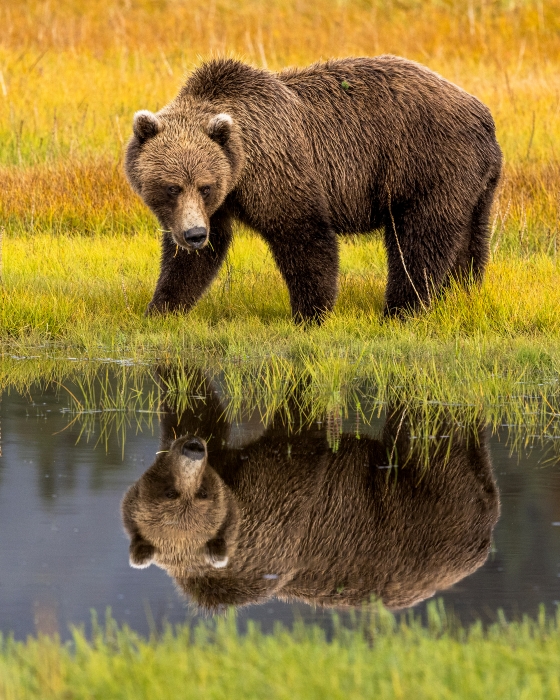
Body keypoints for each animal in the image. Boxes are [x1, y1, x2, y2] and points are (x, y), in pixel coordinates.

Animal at [121, 366, 500, 611]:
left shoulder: (273, 508)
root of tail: (481, 546)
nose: (193, 449)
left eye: (200, 494)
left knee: (427, 429)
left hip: (424, 504)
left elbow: (299, 425)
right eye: (171, 492)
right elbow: (196, 406)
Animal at [125, 56, 502, 323]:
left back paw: (399, 310)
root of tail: (482, 112)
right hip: (477, 185)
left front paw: (310, 314)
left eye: (204, 186)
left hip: (426, 165)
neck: (241, 169)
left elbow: (304, 235)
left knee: (418, 239)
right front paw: (160, 309)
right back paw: (462, 293)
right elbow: (195, 260)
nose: (193, 234)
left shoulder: (276, 168)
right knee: (471, 240)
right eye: (172, 187)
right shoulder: (217, 204)